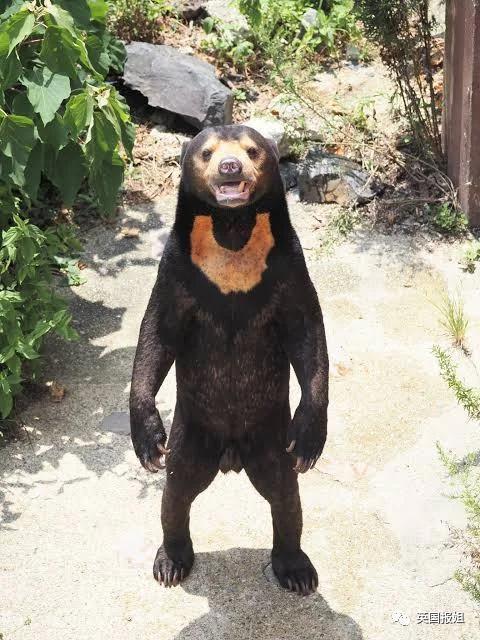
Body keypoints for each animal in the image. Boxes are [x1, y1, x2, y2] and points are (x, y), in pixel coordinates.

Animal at [129, 125, 329, 596]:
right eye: (207, 153)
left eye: (252, 150)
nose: (231, 167)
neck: (232, 233)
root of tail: (231, 455)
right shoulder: (178, 269)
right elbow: (156, 336)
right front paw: (147, 440)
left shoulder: (288, 265)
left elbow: (308, 336)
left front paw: (310, 440)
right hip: (191, 431)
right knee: (177, 491)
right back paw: (171, 563)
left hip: (270, 436)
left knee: (284, 494)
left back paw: (295, 569)